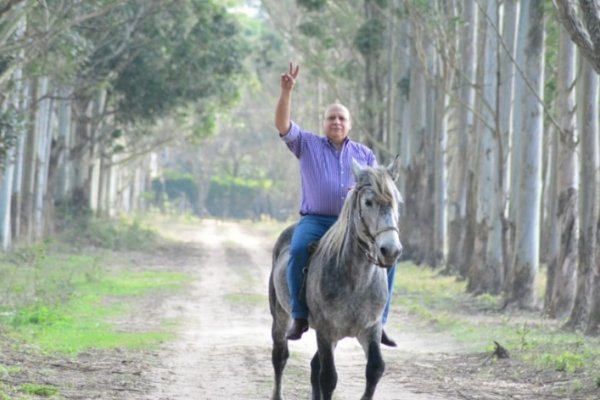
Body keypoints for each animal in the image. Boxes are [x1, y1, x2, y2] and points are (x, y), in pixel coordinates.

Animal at [270, 158, 404, 398]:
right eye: (368, 202)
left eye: (396, 201)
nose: (390, 250)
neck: (356, 280)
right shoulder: (325, 330)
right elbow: (328, 378)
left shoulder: (371, 329)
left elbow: (375, 369)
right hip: (280, 316)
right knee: (280, 357)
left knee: (314, 367)